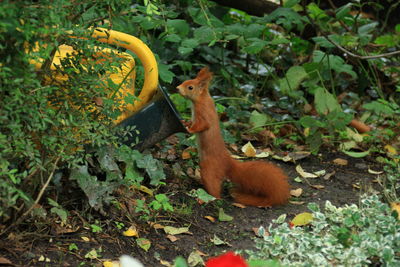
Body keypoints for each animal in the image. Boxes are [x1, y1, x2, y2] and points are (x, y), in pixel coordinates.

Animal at [177, 67, 290, 207]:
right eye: (185, 82)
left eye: (190, 87)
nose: (177, 88)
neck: (201, 99)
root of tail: (228, 163)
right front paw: (185, 123)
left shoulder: (204, 113)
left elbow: (203, 125)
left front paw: (190, 129)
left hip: (209, 169)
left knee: (215, 191)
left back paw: (205, 198)